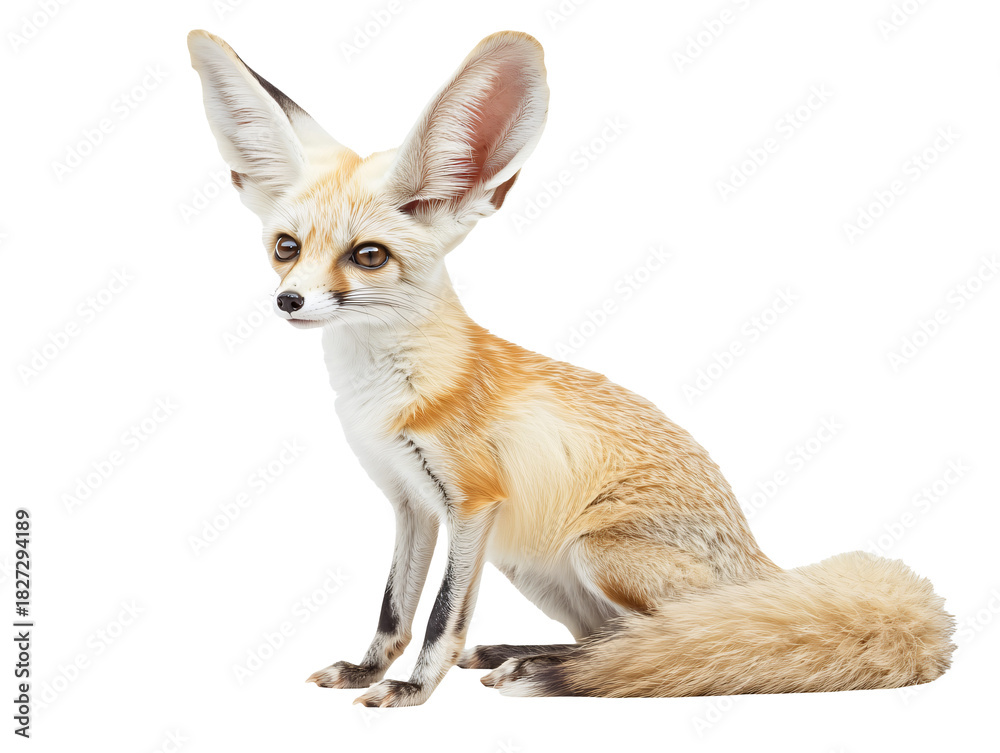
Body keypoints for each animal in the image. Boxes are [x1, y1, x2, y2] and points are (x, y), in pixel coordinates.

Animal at [187, 29, 955, 707]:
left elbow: (439, 618)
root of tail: (766, 569)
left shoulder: (473, 503)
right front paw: (366, 669)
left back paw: (544, 667)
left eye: (368, 256)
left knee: (675, 642)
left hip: (596, 552)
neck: (386, 391)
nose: (289, 300)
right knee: (613, 637)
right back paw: (524, 656)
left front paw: (410, 690)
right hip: (534, 564)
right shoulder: (411, 503)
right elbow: (394, 610)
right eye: (286, 248)